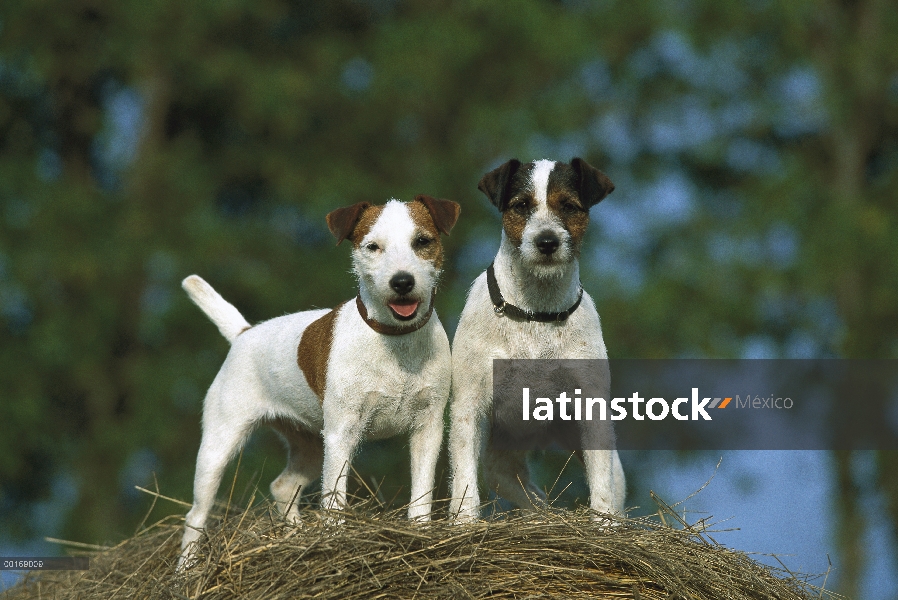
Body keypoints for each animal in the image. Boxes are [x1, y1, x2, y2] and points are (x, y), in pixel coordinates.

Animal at [180, 195, 462, 564]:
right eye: (373, 247)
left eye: (422, 242)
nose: (402, 282)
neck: (395, 342)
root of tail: (244, 333)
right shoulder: (342, 433)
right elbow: (335, 498)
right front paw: (337, 539)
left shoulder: (427, 428)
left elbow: (422, 492)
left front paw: (421, 531)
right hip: (220, 444)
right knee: (196, 515)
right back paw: (186, 570)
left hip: (311, 444)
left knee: (283, 486)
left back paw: (295, 535)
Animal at [446, 158, 624, 520]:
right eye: (521, 206)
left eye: (568, 206)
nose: (547, 242)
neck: (535, 312)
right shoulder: (469, 407)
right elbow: (464, 481)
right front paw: (465, 523)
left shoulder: (592, 409)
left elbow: (601, 486)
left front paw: (603, 526)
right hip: (500, 461)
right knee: (529, 495)